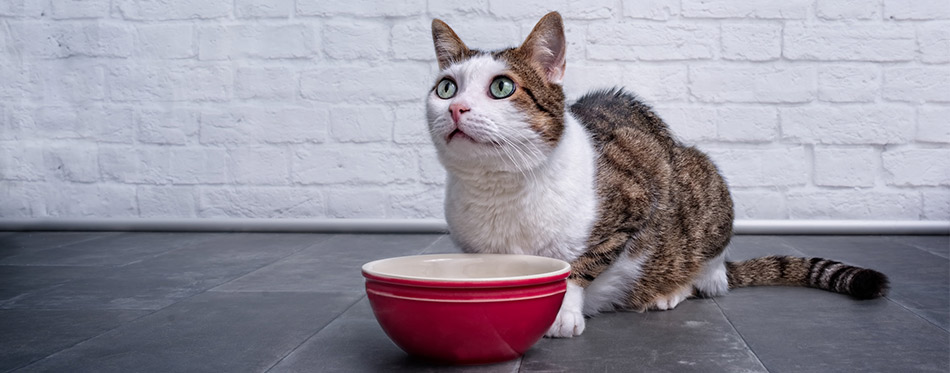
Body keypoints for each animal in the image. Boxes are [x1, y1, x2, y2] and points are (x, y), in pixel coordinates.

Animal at [428, 11, 888, 338]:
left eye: (501, 87)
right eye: (446, 88)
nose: (457, 108)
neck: (498, 187)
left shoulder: (633, 202)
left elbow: (578, 267)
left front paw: (563, 312)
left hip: (704, 189)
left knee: (706, 277)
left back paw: (670, 291)